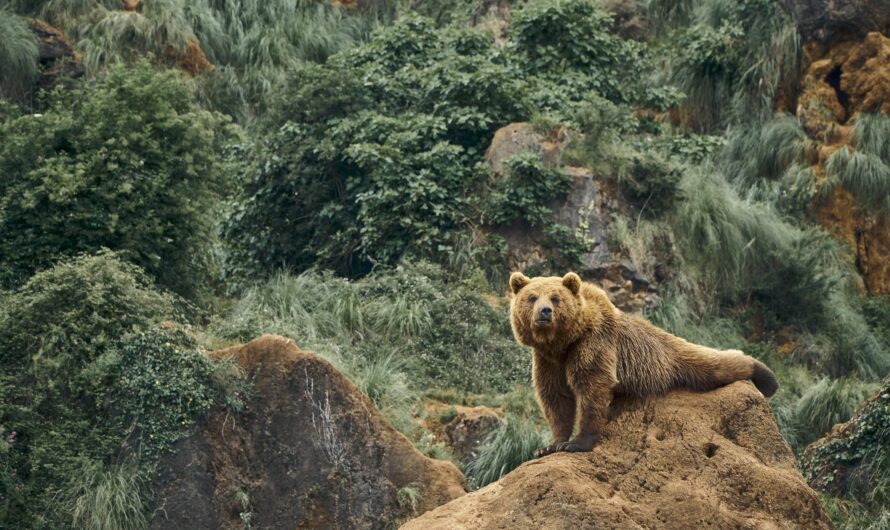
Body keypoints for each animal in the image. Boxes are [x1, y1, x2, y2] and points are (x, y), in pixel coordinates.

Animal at [510, 272, 772, 454]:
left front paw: (577, 443)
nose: (544, 312)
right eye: (532, 297)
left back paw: (766, 377)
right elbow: (556, 398)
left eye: (556, 298)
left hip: (668, 358)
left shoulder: (593, 343)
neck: (562, 342)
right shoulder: (547, 360)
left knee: (712, 363)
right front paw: (550, 445)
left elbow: (592, 387)